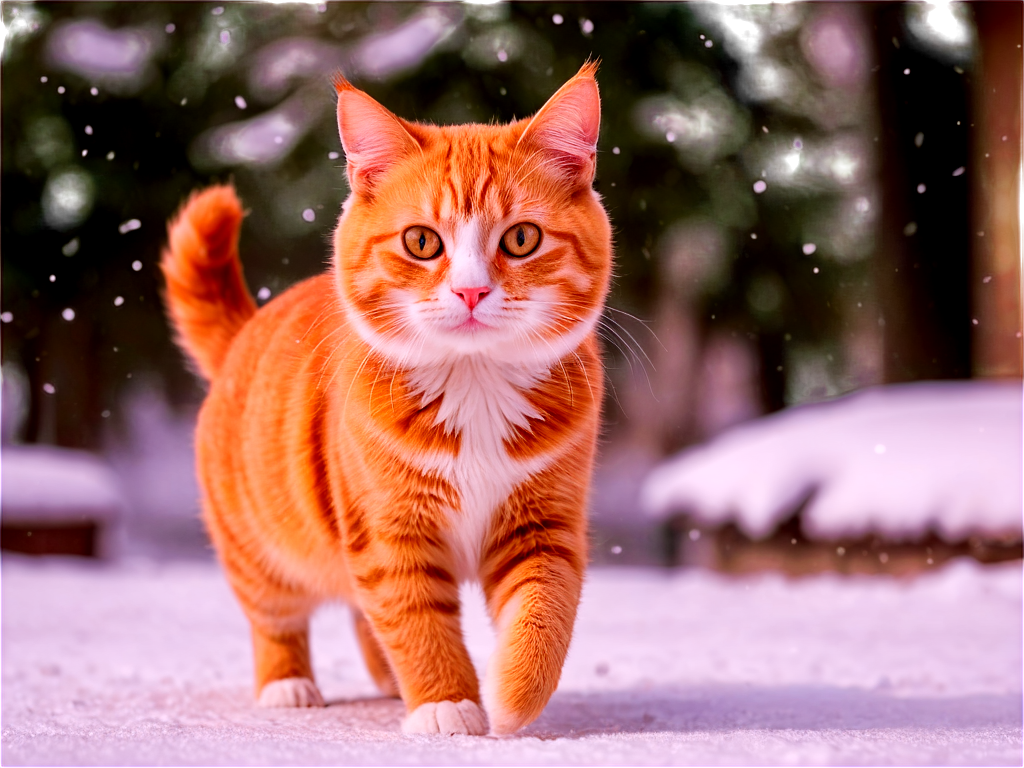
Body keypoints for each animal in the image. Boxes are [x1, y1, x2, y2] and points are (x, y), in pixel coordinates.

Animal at [159, 63, 606, 737]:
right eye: (422, 242)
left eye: (522, 239)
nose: (471, 292)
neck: (474, 387)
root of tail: (245, 328)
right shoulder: (388, 534)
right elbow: (416, 623)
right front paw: (446, 702)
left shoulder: (544, 526)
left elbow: (542, 617)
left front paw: (510, 694)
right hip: (257, 546)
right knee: (276, 616)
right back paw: (288, 684)